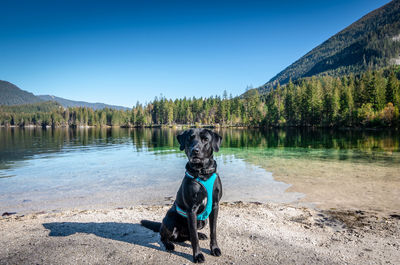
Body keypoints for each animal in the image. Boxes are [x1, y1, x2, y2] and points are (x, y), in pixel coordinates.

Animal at [140, 128, 222, 262]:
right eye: (189, 139)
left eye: (205, 139)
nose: (195, 150)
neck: (202, 173)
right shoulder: (191, 210)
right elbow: (194, 238)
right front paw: (197, 255)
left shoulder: (215, 206)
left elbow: (213, 231)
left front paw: (214, 248)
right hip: (170, 219)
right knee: (164, 236)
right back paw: (169, 244)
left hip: (202, 221)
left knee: (188, 235)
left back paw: (200, 234)